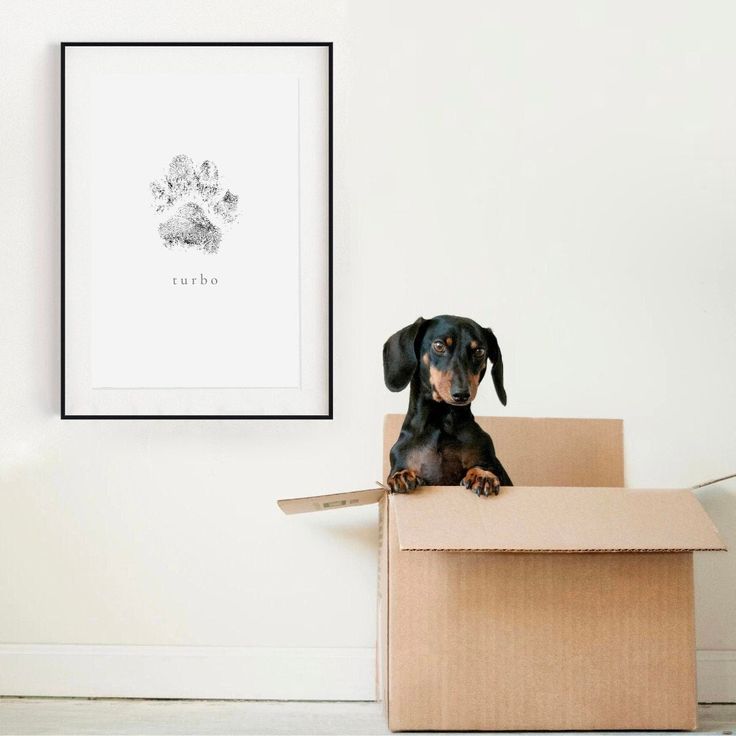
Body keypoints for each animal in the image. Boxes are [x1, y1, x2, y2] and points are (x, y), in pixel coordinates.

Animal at [386, 314, 512, 494]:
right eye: (439, 346)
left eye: (479, 351)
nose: (462, 394)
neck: (441, 422)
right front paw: (402, 475)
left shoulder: (491, 461)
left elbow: (483, 467)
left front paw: (482, 475)